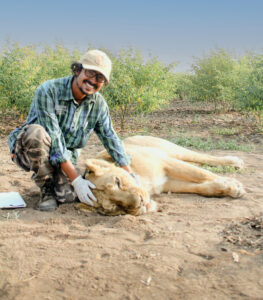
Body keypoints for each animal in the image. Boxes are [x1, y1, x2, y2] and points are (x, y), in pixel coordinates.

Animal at [76, 135, 245, 216]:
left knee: (202, 158)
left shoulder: (165, 162)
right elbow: (203, 187)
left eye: (118, 182)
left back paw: (235, 161)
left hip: (172, 150)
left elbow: (202, 174)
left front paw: (234, 186)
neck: (146, 184)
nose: (141, 203)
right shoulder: (168, 183)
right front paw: (227, 188)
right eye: (114, 207)